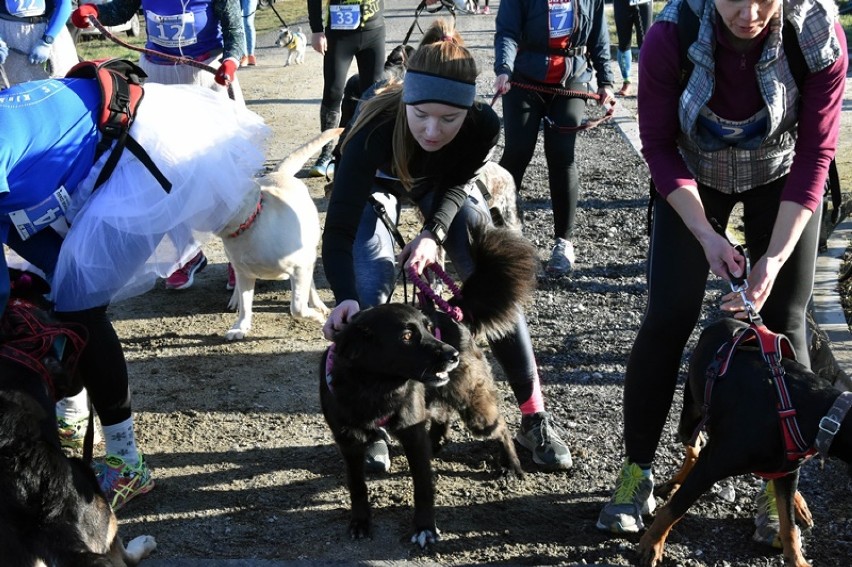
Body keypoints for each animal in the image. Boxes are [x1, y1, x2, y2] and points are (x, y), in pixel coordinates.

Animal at [216, 129, 342, 342]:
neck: (250, 225)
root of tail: (278, 173)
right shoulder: (244, 273)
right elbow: (245, 303)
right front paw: (240, 327)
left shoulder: (300, 267)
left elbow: (297, 307)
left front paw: (317, 316)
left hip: (309, 251)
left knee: (310, 284)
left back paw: (317, 304)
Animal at [320, 226, 532, 552]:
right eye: (407, 336)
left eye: (427, 328)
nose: (452, 355)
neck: (375, 388)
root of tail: (455, 315)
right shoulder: (349, 441)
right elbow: (357, 485)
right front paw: (360, 521)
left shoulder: (412, 434)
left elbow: (423, 486)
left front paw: (425, 528)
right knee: (442, 416)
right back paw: (438, 442)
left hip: (474, 407)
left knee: (501, 428)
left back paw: (511, 465)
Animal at [640, 320, 852, 567]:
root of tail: (726, 321)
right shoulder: (711, 465)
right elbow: (675, 508)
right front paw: (651, 544)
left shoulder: (787, 469)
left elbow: (788, 524)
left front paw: (797, 559)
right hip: (691, 416)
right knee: (695, 444)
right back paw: (676, 482)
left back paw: (799, 503)